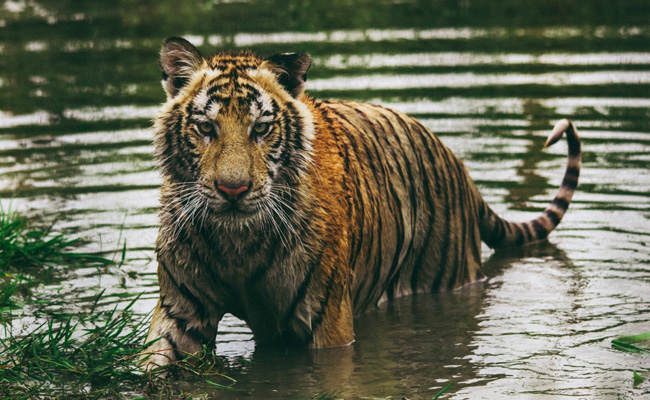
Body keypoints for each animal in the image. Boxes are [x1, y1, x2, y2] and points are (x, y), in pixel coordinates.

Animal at [139, 37, 580, 372]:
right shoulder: (181, 313)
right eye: (205, 128)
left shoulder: (326, 322)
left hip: (447, 278)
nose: (233, 190)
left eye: (261, 129)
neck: (237, 244)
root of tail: (460, 168)